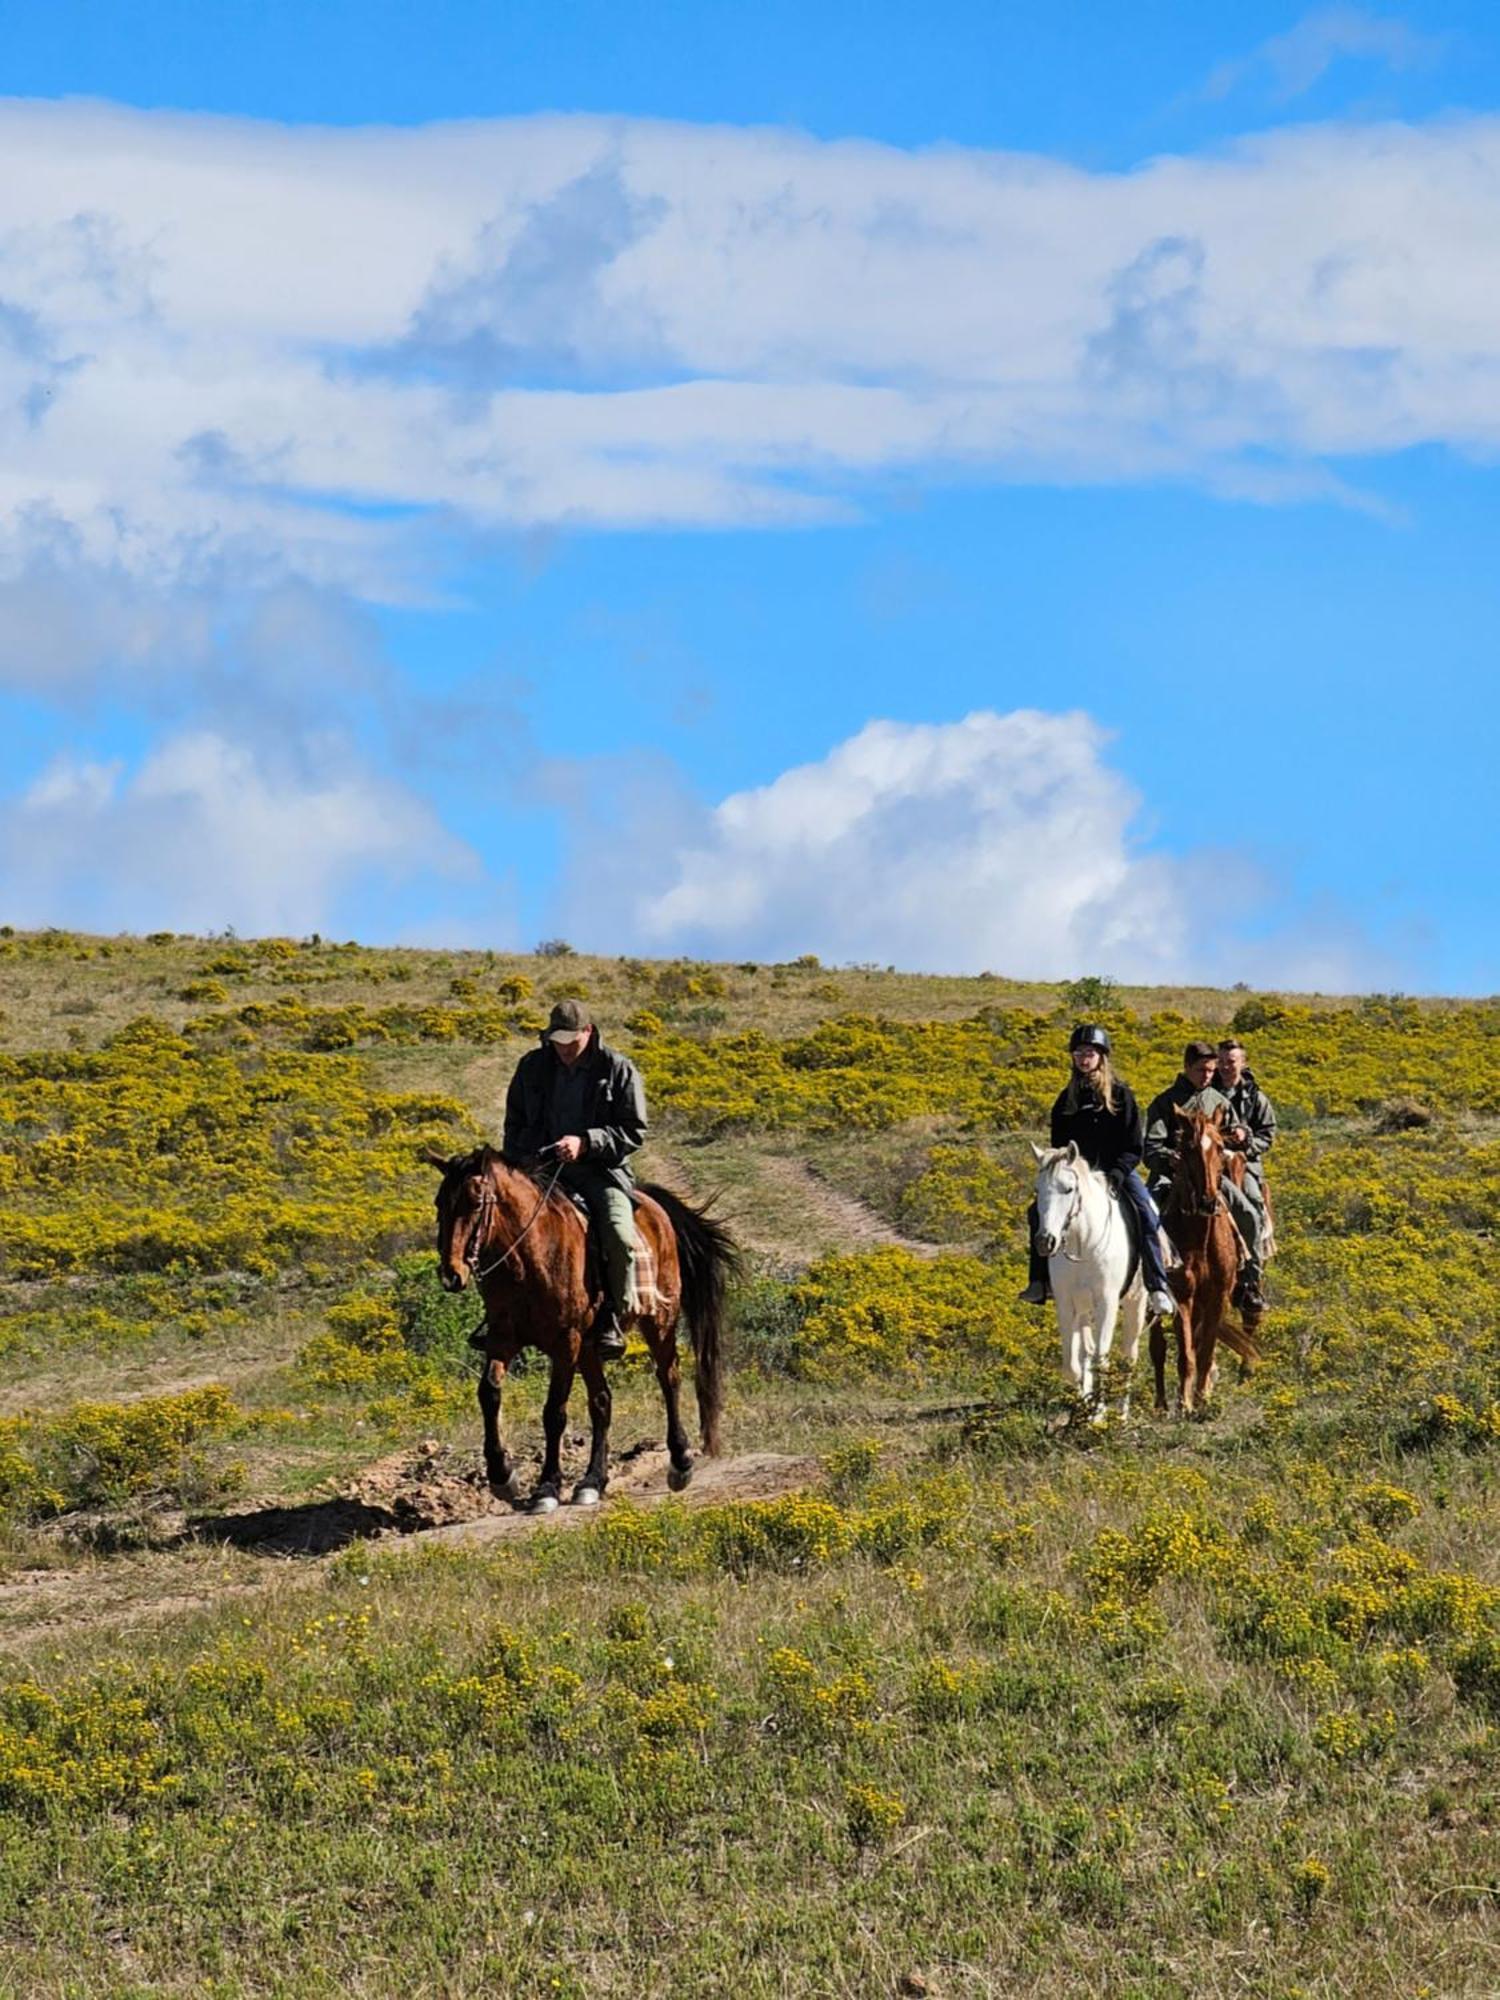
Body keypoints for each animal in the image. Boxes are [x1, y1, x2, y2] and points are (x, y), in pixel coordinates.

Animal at [426, 1152, 736, 1504]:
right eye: (440, 1203)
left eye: (476, 1202)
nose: (451, 1274)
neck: (528, 1259)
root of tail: (653, 1205)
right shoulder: (503, 1337)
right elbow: (489, 1393)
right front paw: (502, 1475)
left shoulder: (566, 1342)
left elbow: (554, 1413)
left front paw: (547, 1486)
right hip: (590, 1347)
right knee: (602, 1401)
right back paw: (592, 1481)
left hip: (659, 1321)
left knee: (669, 1378)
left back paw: (680, 1462)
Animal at [1032, 1144, 1152, 1424]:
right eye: (1037, 1190)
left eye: (1068, 1189)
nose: (1045, 1241)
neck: (1083, 1243)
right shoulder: (1066, 1304)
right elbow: (1073, 1365)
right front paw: (1083, 1408)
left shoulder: (1107, 1303)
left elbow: (1101, 1359)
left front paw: (1099, 1414)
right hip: (1085, 1309)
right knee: (1086, 1350)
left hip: (1135, 1303)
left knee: (1128, 1357)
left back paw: (1122, 1414)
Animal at [1160, 1112, 1264, 1424]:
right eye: (1188, 1148)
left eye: (1220, 1146)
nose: (1207, 1200)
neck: (1200, 1237)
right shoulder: (1181, 1297)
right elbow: (1186, 1354)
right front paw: (1184, 1404)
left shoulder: (1217, 1297)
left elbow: (1204, 1350)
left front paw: (1202, 1400)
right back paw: (1161, 1404)